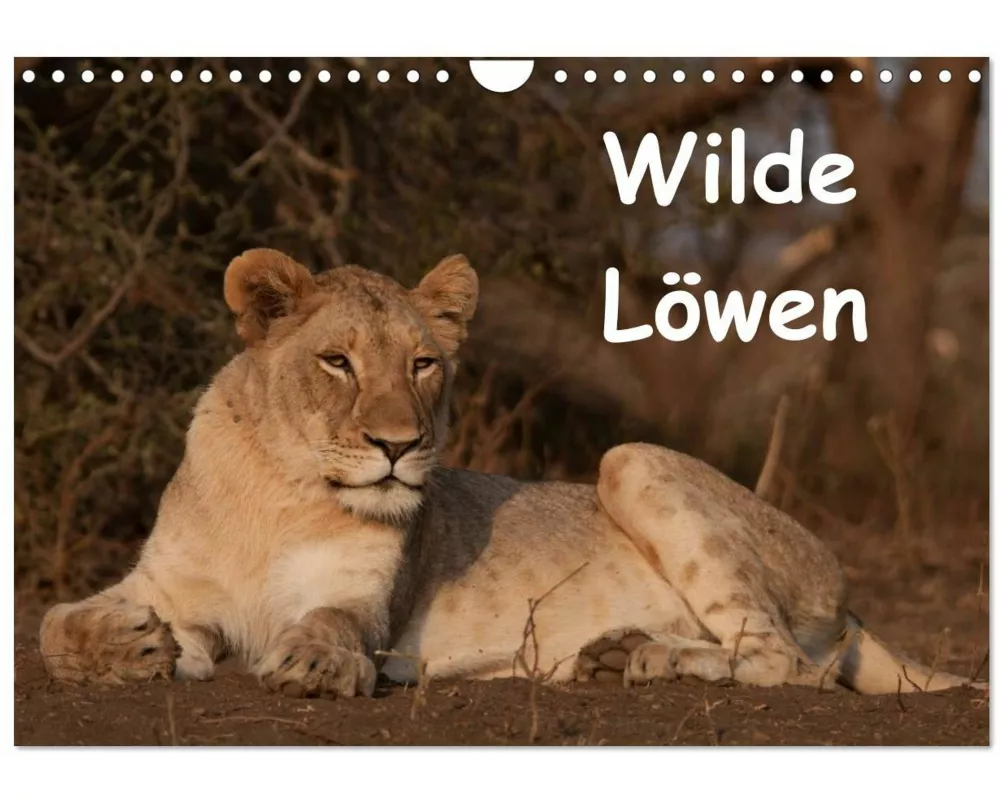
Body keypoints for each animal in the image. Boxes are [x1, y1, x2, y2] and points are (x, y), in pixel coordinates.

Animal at [39, 248, 986, 698]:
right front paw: (129, 646)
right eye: (337, 361)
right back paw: (614, 656)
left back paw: (650, 659)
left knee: (787, 662)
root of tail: (847, 595)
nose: (397, 445)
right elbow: (53, 623)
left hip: (631, 459)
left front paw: (313, 664)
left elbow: (330, 624)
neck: (283, 491)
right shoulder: (164, 583)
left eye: (423, 363)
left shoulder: (365, 603)